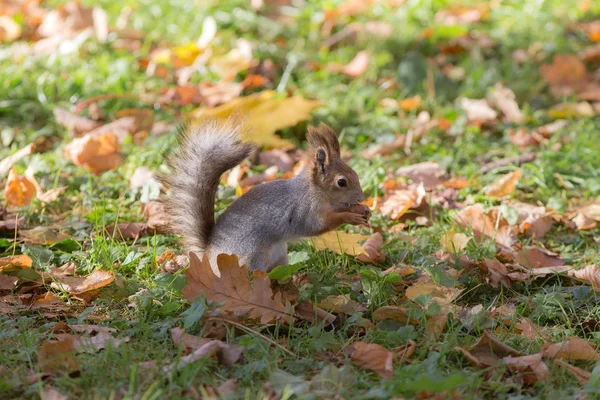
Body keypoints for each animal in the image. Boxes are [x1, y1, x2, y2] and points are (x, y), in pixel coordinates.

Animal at [163, 117, 370, 276]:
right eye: (341, 182)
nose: (361, 197)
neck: (314, 191)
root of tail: (208, 255)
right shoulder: (304, 211)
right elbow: (318, 225)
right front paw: (350, 216)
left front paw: (363, 210)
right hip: (254, 255)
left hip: (280, 255)